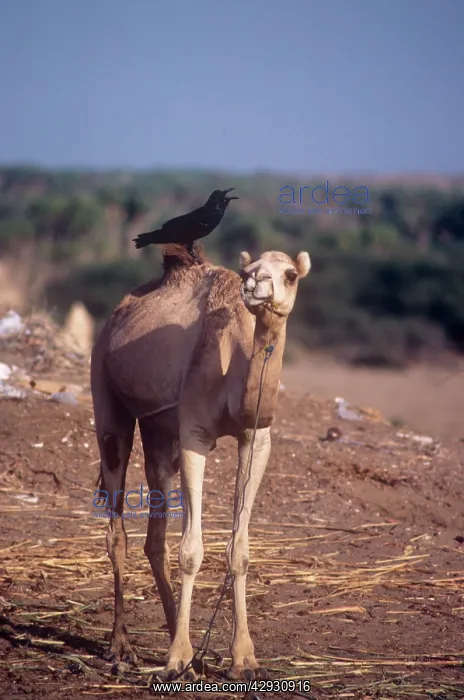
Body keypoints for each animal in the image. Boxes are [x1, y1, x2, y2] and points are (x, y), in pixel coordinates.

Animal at [90, 243, 310, 681]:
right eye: (251, 269)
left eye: (291, 274)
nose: (255, 285)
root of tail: (116, 315)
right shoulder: (194, 432)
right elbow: (190, 550)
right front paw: (176, 658)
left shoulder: (256, 437)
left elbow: (239, 549)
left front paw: (243, 658)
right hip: (104, 390)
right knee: (117, 527)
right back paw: (123, 648)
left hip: (159, 429)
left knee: (154, 534)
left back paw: (190, 650)